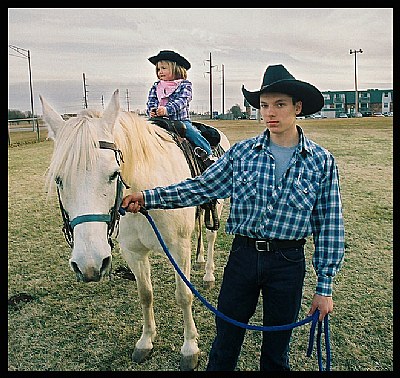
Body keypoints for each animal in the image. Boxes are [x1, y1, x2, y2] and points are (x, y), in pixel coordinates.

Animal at [41, 90, 231, 370]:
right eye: (59, 179)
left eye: (114, 174)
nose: (89, 264)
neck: (145, 194)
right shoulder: (133, 252)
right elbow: (145, 294)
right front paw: (146, 341)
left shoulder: (178, 247)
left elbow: (184, 295)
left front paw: (189, 348)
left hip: (216, 206)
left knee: (209, 235)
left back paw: (207, 274)